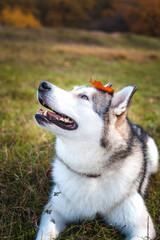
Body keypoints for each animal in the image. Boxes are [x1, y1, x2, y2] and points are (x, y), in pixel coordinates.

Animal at [34, 81, 158, 240]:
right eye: (73, 90)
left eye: (84, 97)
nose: (43, 84)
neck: (92, 174)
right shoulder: (53, 210)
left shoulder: (143, 226)